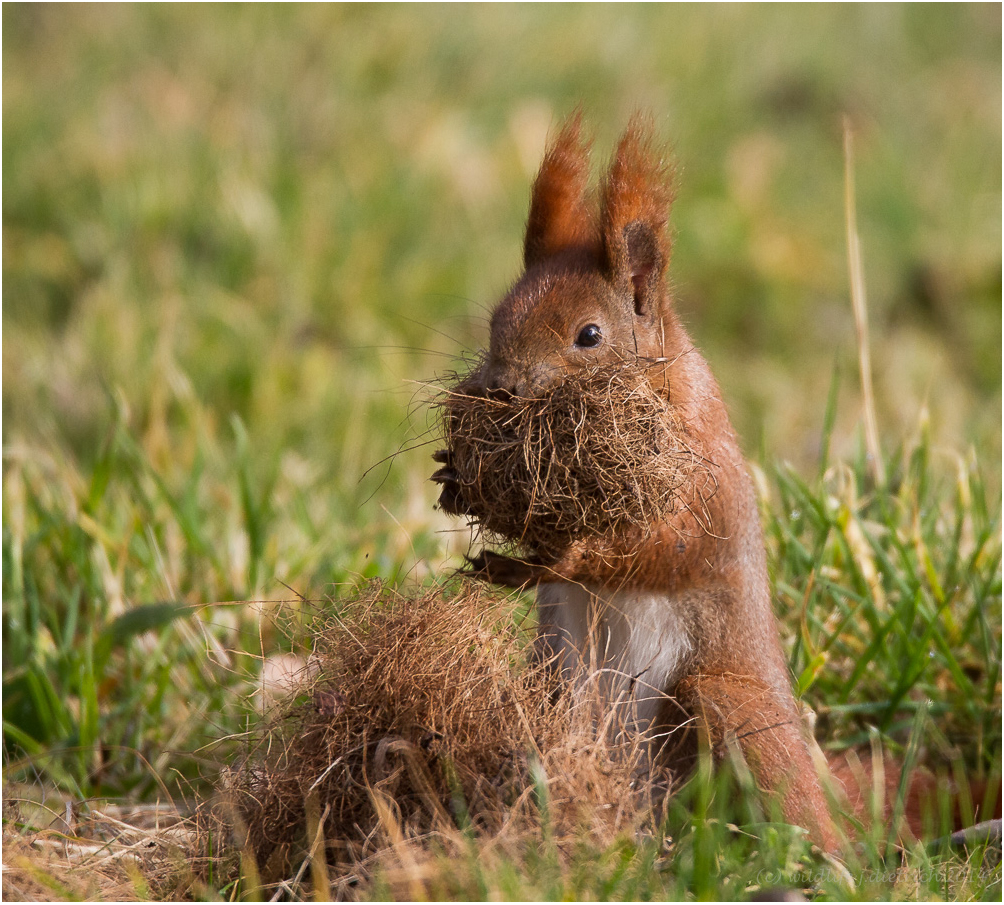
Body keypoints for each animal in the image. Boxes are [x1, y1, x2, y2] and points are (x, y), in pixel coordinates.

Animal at [431, 115, 839, 855]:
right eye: (495, 320)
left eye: (590, 335)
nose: (501, 387)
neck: (658, 389)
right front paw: (454, 479)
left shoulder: (707, 481)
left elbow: (666, 550)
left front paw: (552, 560)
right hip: (551, 682)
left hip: (726, 703)